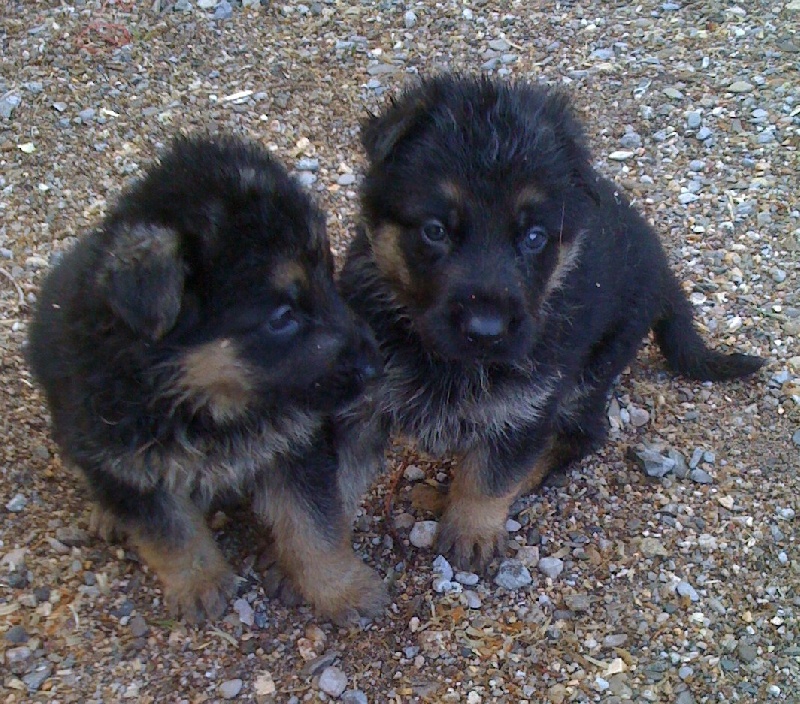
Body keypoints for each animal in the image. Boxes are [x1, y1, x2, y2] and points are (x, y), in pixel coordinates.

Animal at [25, 133, 388, 620]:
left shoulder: (294, 446)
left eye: (328, 277)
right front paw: (198, 582)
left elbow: (315, 526)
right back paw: (106, 514)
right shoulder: (130, 464)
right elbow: (171, 534)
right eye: (282, 317)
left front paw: (342, 587)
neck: (205, 401)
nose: (375, 366)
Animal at [338, 74, 764, 576]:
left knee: (581, 435)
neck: (447, 361)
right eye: (435, 230)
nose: (486, 330)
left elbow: (491, 477)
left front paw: (472, 530)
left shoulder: (528, 405)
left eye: (534, 237)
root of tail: (663, 272)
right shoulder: (359, 402)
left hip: (592, 370)